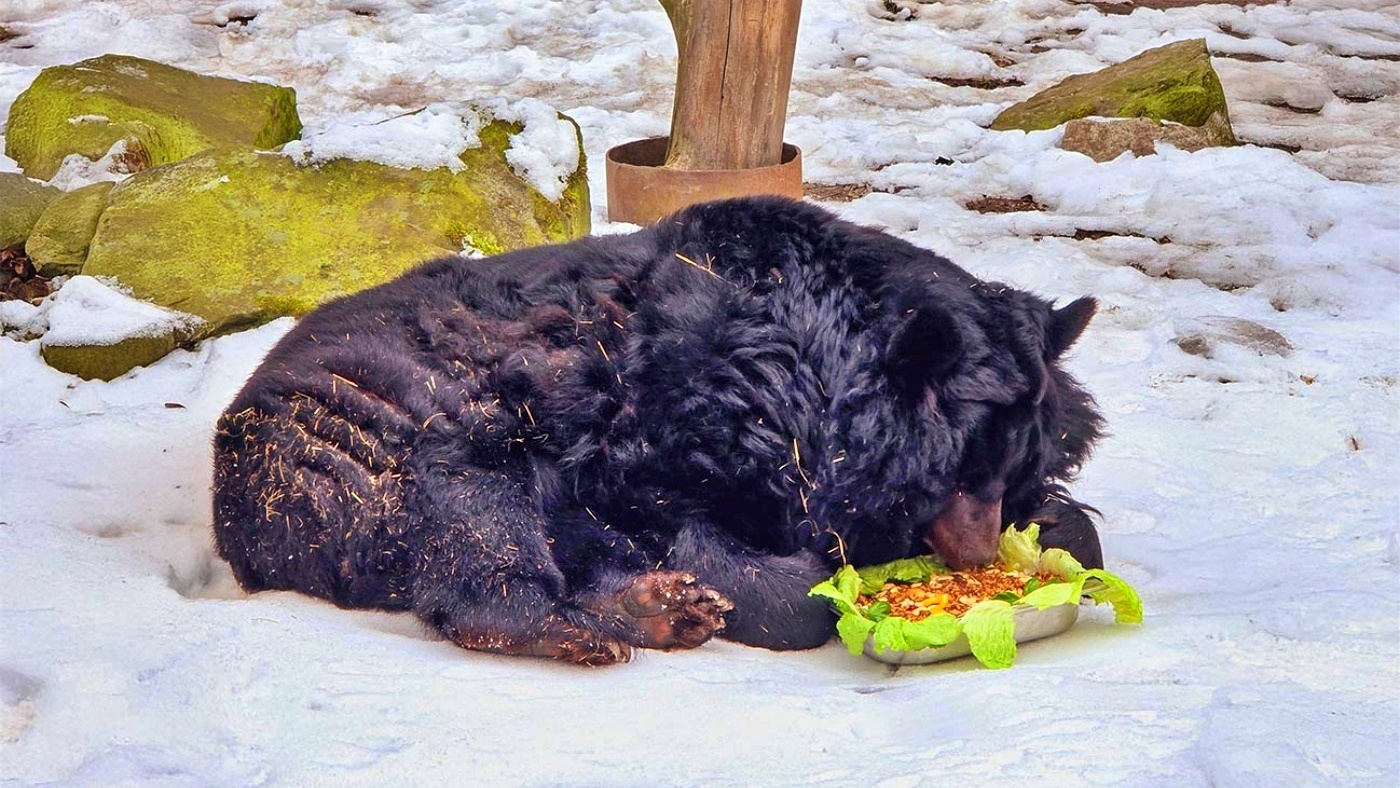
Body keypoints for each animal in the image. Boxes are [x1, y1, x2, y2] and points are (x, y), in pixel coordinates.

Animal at [210, 197, 1103, 666]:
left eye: (1008, 470)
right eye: (959, 476)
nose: (979, 556)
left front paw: (1058, 532)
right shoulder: (659, 421)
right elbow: (687, 528)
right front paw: (816, 573)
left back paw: (655, 610)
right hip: (385, 433)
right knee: (473, 528)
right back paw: (590, 625)